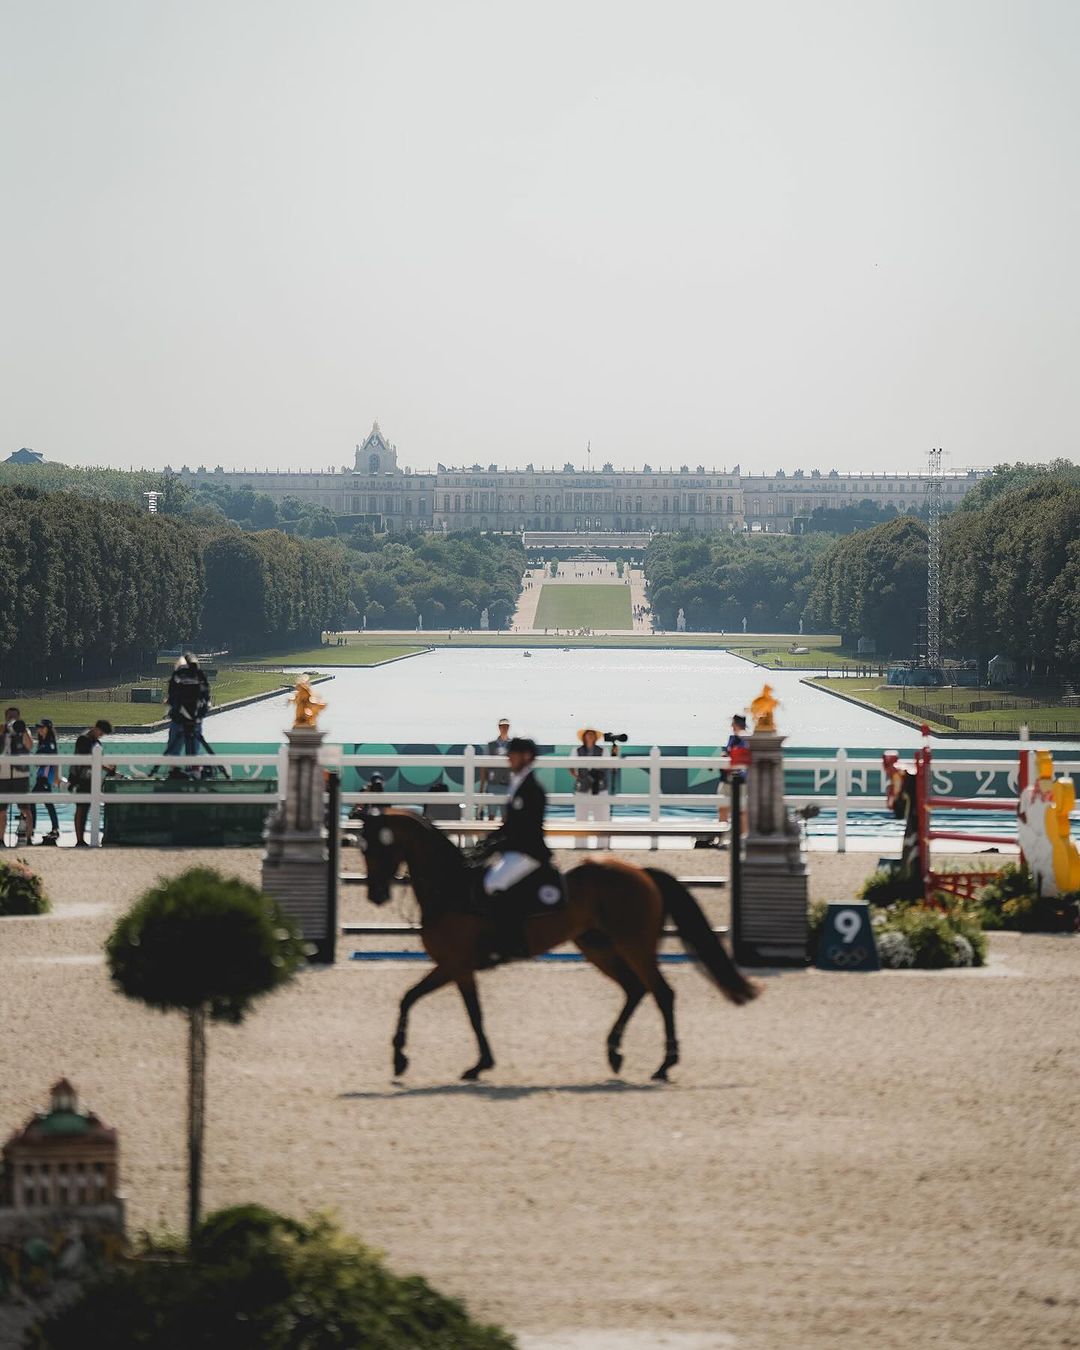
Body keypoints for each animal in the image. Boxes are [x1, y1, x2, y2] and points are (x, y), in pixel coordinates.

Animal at [356, 804, 761, 1080]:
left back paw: (664, 1064)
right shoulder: (458, 969)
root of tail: (641, 873)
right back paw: (615, 1053)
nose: (375, 895)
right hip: (598, 947)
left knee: (661, 993)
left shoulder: (454, 965)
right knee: (634, 989)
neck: (451, 887)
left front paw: (402, 1058)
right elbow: (457, 1010)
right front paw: (479, 1063)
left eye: (375, 846)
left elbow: (425, 1002)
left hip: (634, 946)